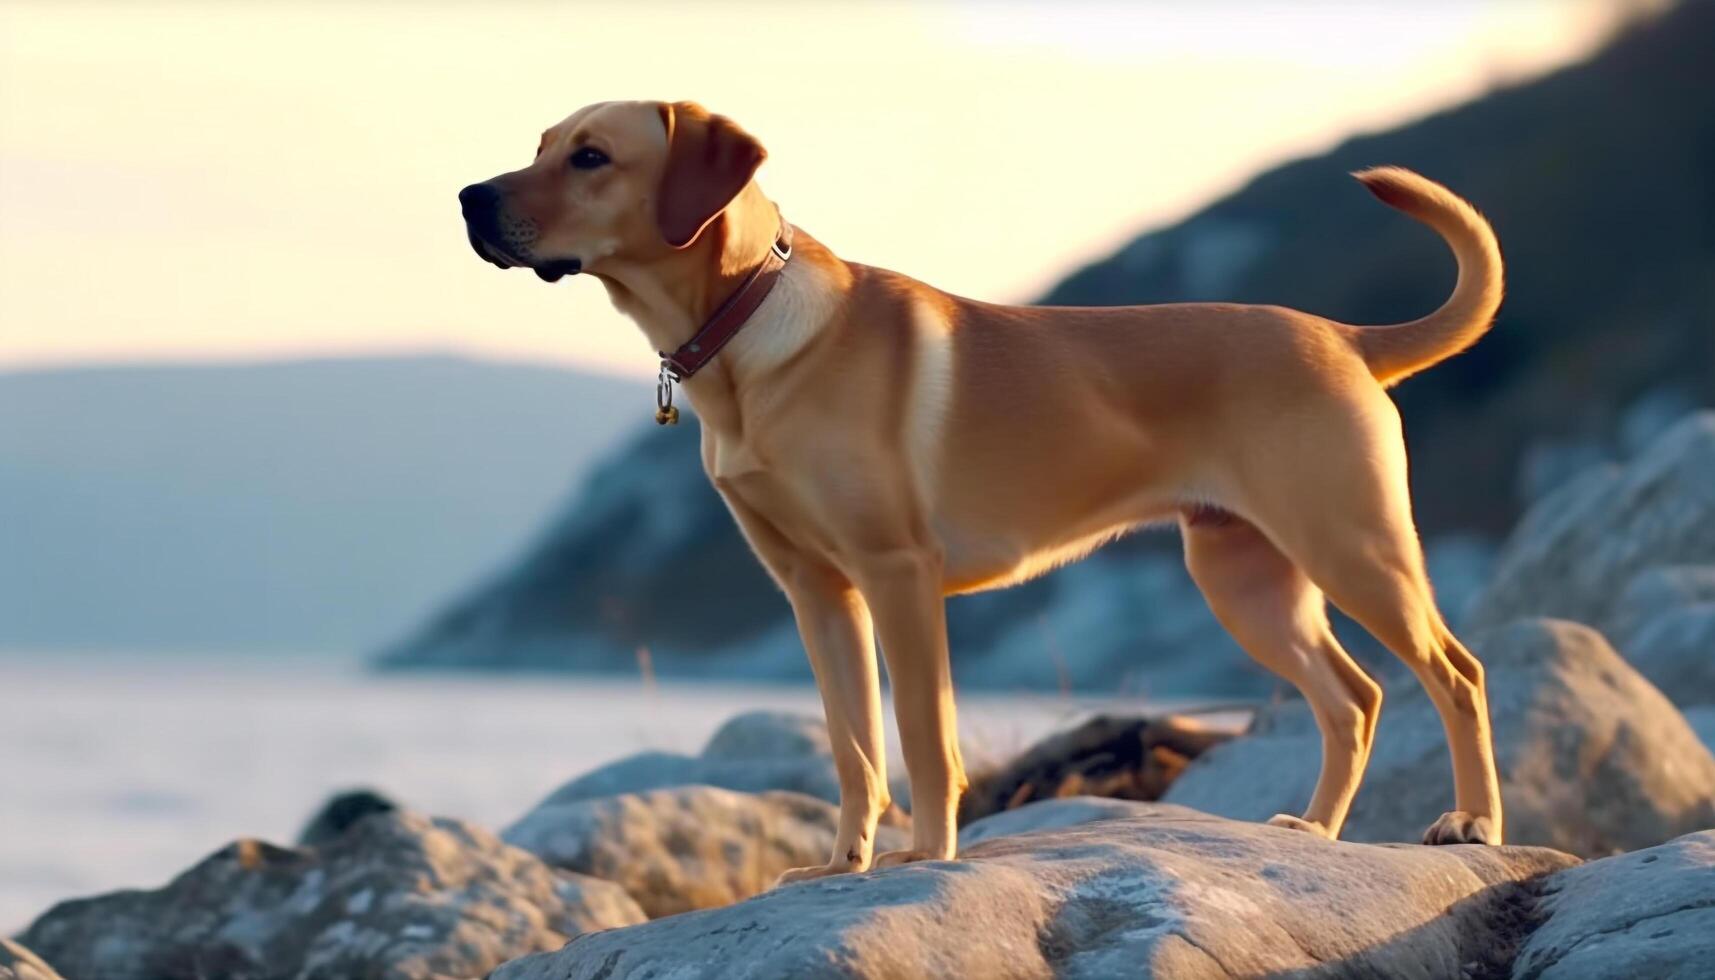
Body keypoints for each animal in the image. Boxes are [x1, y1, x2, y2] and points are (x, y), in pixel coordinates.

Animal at [463, 101, 1509, 878]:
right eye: (542, 145)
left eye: (591, 157)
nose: (468, 196)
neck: (747, 330)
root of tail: (1344, 336)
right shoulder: (816, 592)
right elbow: (852, 746)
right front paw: (841, 864)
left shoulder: (896, 576)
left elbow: (923, 739)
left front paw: (925, 856)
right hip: (1248, 580)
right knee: (1353, 698)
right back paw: (1317, 831)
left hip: (1350, 547)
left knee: (1455, 674)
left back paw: (1471, 825)